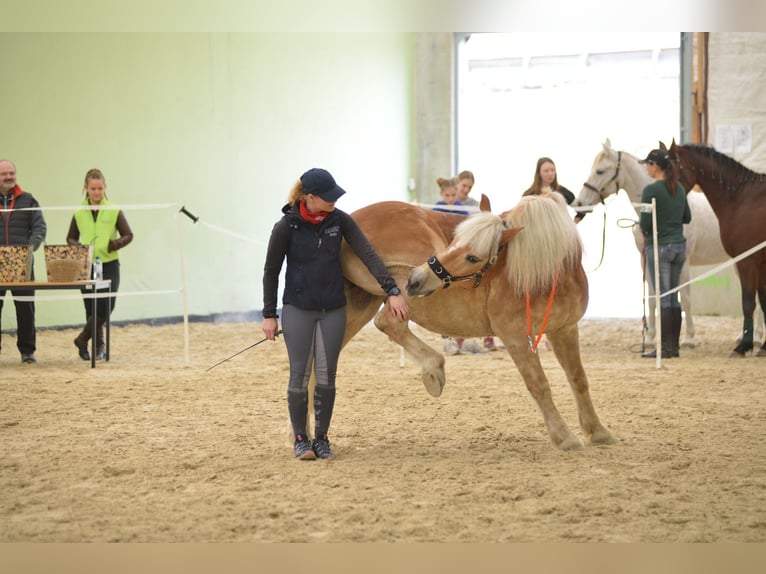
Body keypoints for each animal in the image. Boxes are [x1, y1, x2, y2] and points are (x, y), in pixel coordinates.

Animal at [344, 196, 616, 452]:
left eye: (473, 257)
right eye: (453, 241)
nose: (416, 278)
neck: (536, 273)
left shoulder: (565, 329)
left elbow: (578, 378)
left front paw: (597, 430)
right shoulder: (514, 336)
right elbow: (538, 384)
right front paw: (564, 436)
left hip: (359, 307)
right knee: (388, 322)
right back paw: (433, 369)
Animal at [568, 139, 760, 346]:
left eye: (600, 171)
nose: (578, 204)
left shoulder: (683, 262)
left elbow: (685, 299)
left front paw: (689, 338)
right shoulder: (648, 260)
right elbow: (653, 298)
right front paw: (651, 338)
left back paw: (756, 338)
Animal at [668, 142, 766, 358]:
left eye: (672, 171)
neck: (742, 197)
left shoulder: (747, 261)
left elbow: (748, 303)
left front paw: (743, 346)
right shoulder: (760, 263)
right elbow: (764, 302)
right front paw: (763, 347)